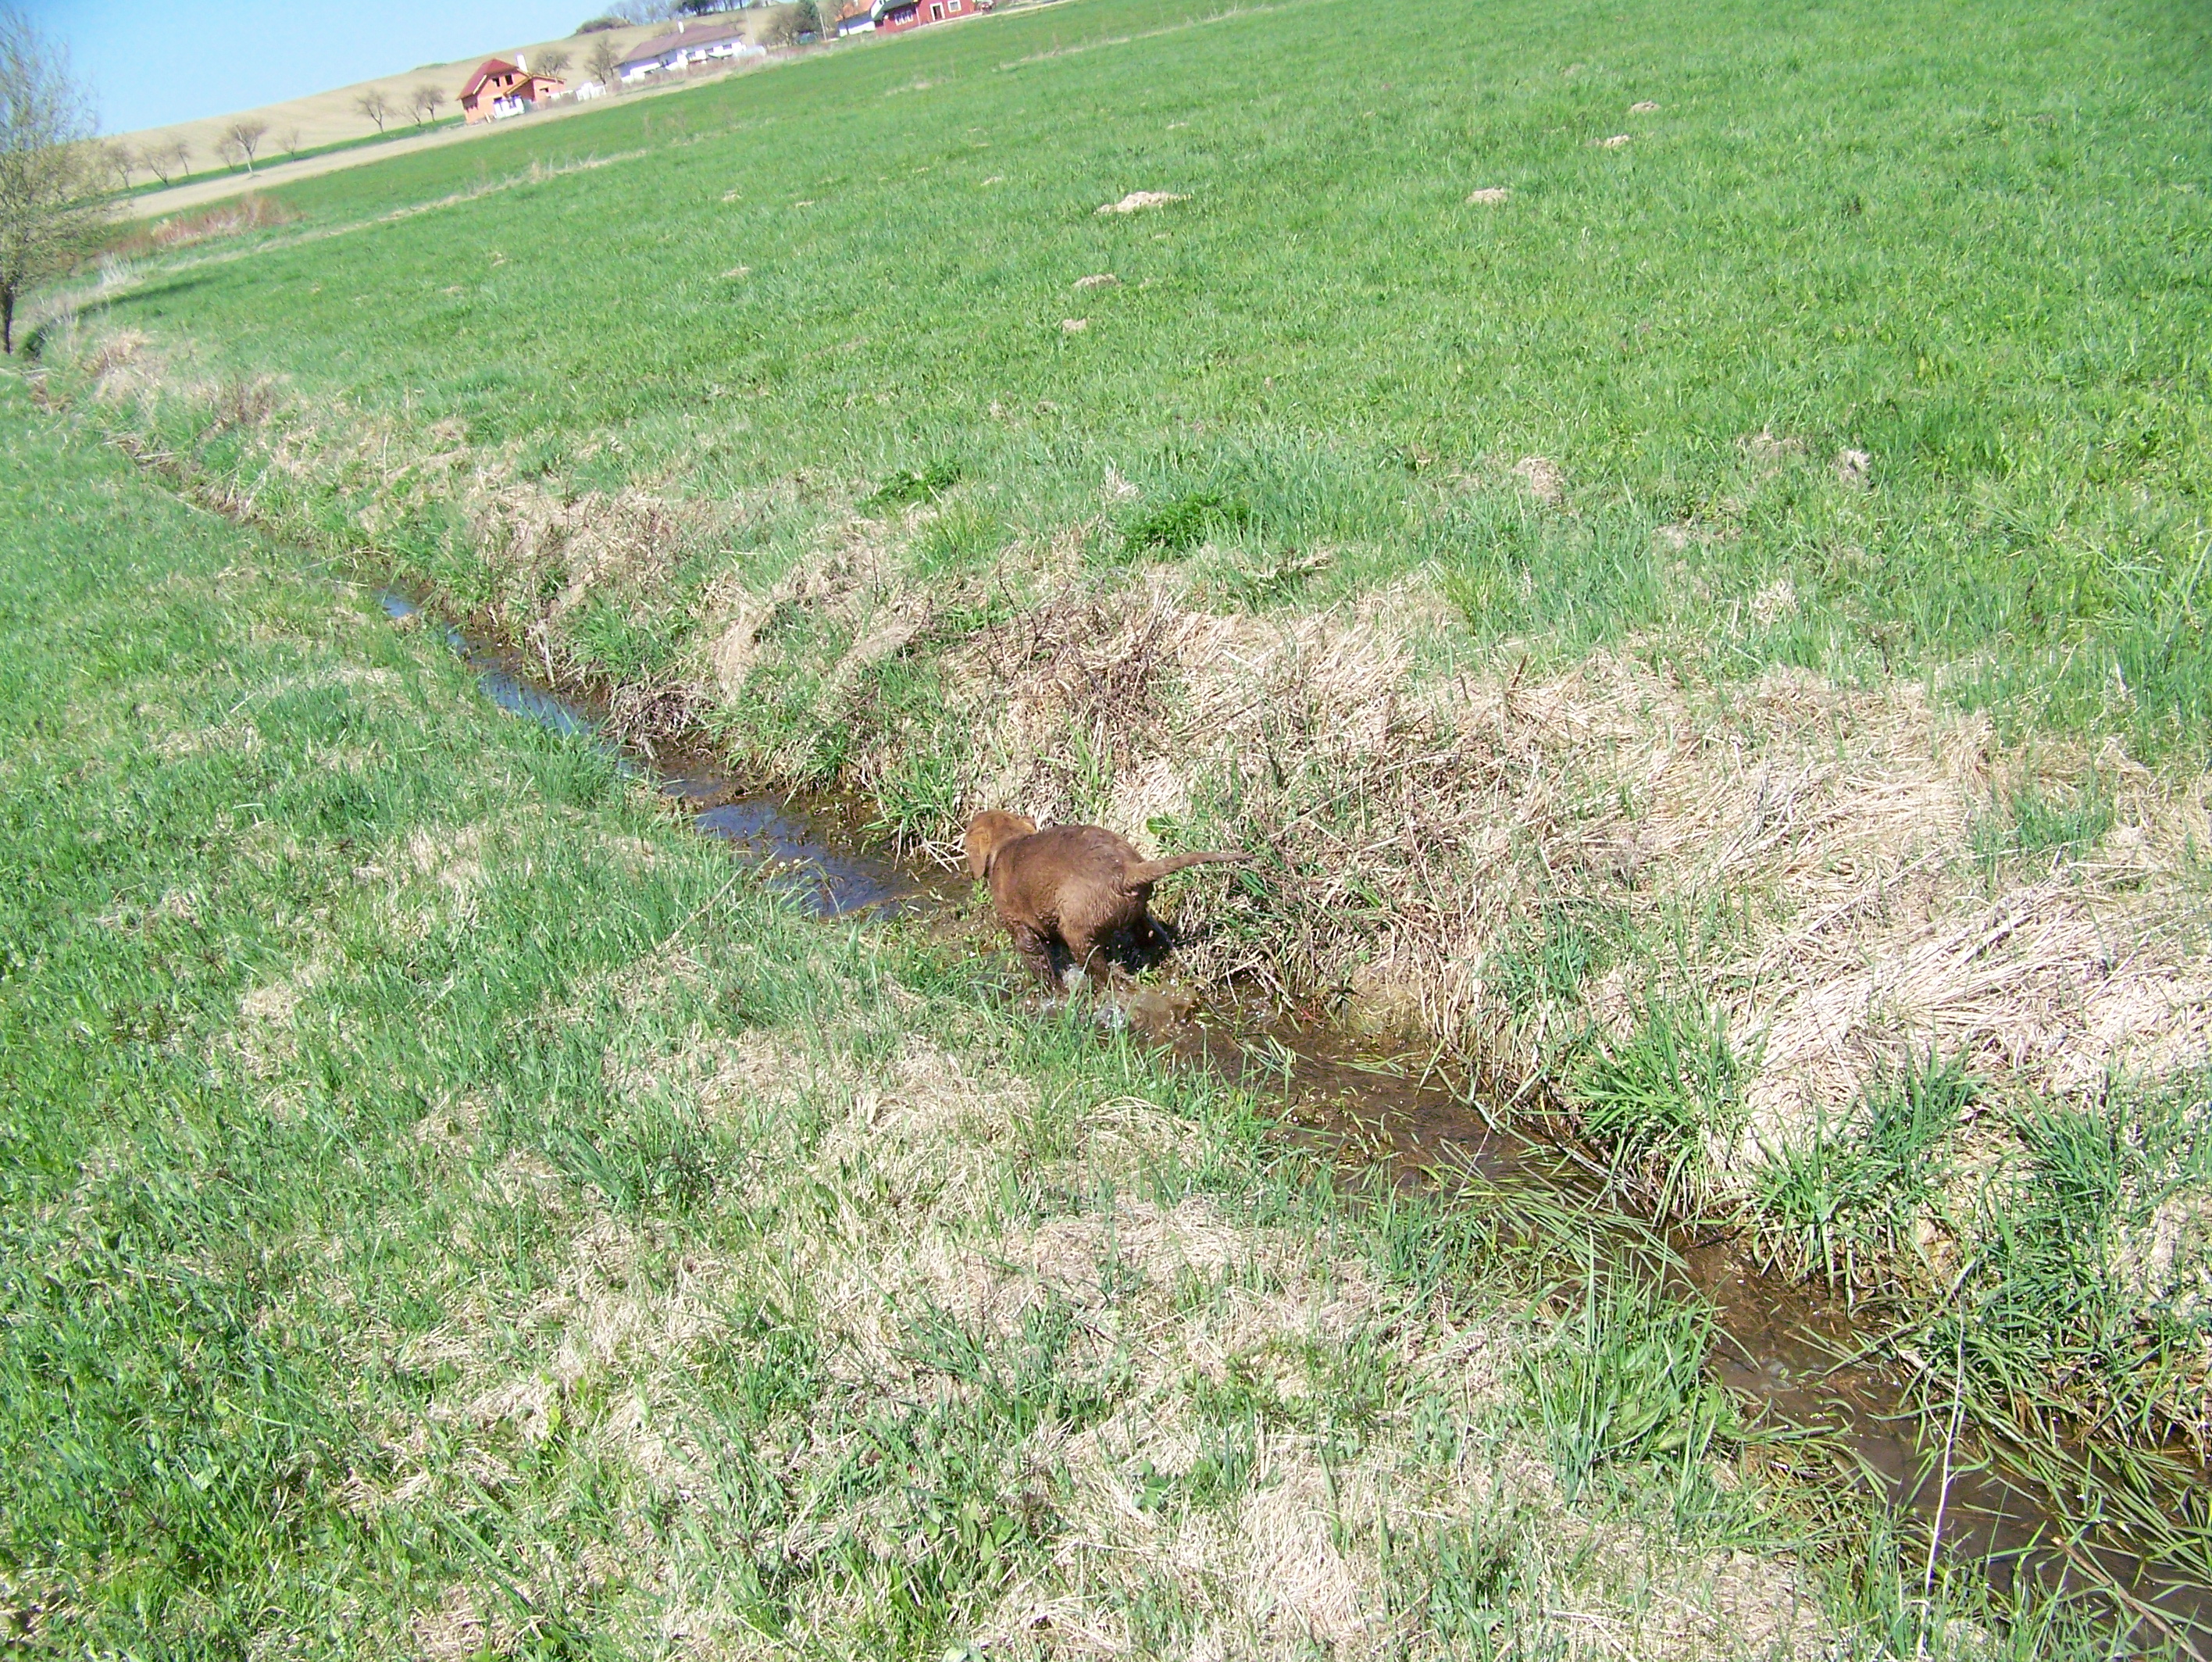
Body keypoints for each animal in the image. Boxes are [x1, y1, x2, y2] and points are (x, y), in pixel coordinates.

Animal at [964, 814, 1256, 986]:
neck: (1007, 845)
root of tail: (1127, 870)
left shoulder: (1020, 927)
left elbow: (1039, 963)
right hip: (1135, 911)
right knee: (1146, 935)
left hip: (1077, 929)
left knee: (1100, 968)